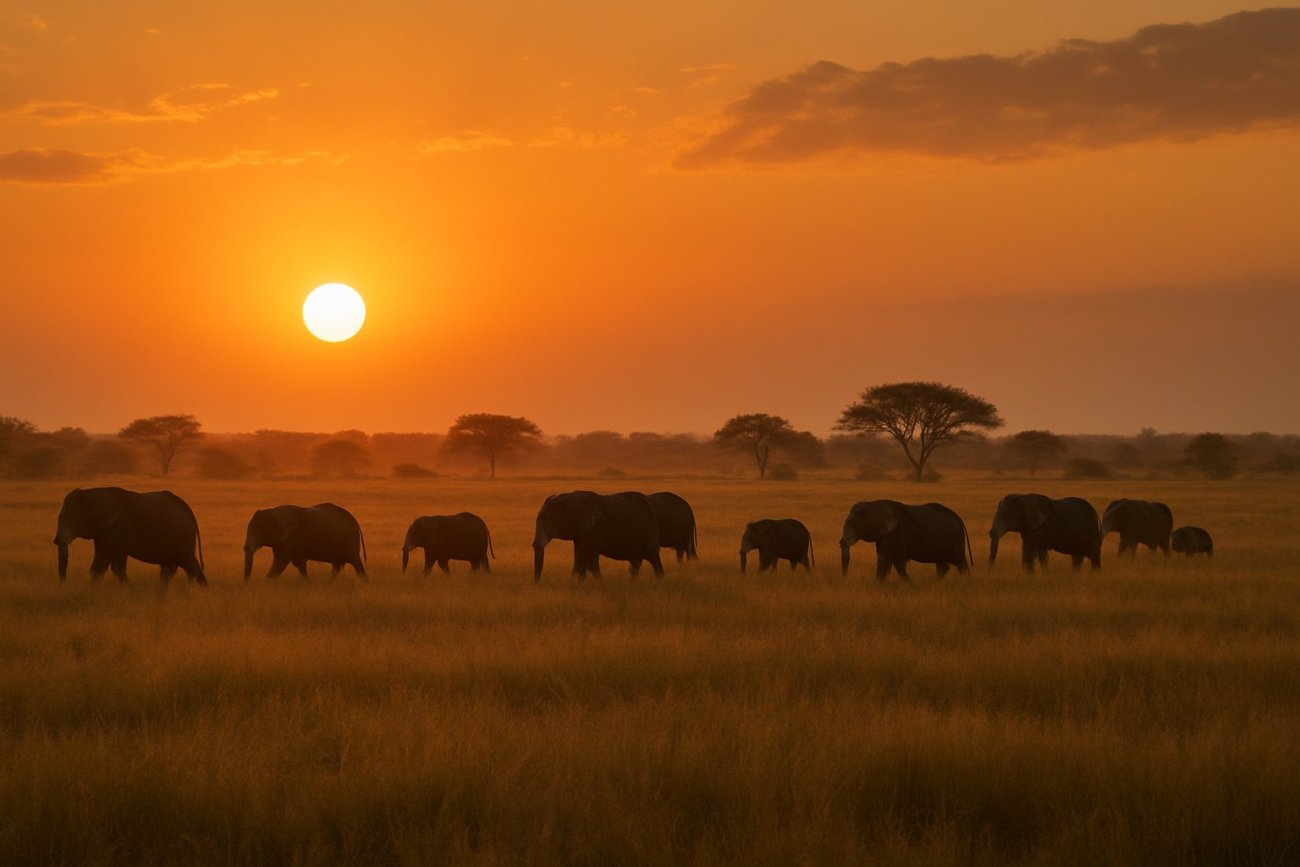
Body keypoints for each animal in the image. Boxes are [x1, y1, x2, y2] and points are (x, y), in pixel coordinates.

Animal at [53, 486, 206, 585]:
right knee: (171, 567)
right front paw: (126, 588)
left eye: (69, 520)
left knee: (187, 565)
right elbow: (117, 564)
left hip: (181, 537)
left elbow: (102, 562)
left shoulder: (114, 528)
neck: (91, 493)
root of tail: (189, 509)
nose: (64, 583)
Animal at [532, 490, 663, 581]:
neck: (569, 497)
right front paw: (577, 582)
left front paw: (598, 583)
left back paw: (660, 581)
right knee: (636, 563)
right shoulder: (581, 533)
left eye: (547, 521)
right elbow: (579, 558)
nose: (537, 584)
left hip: (649, 533)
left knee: (654, 558)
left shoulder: (594, 531)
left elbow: (590, 559)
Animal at [839, 500, 971, 581]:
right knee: (942, 565)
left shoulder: (898, 534)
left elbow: (897, 562)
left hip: (956, 539)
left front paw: (912, 586)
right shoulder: (884, 536)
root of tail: (957, 517)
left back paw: (966, 581)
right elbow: (883, 560)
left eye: (852, 524)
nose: (841, 543)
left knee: (960, 563)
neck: (873, 503)